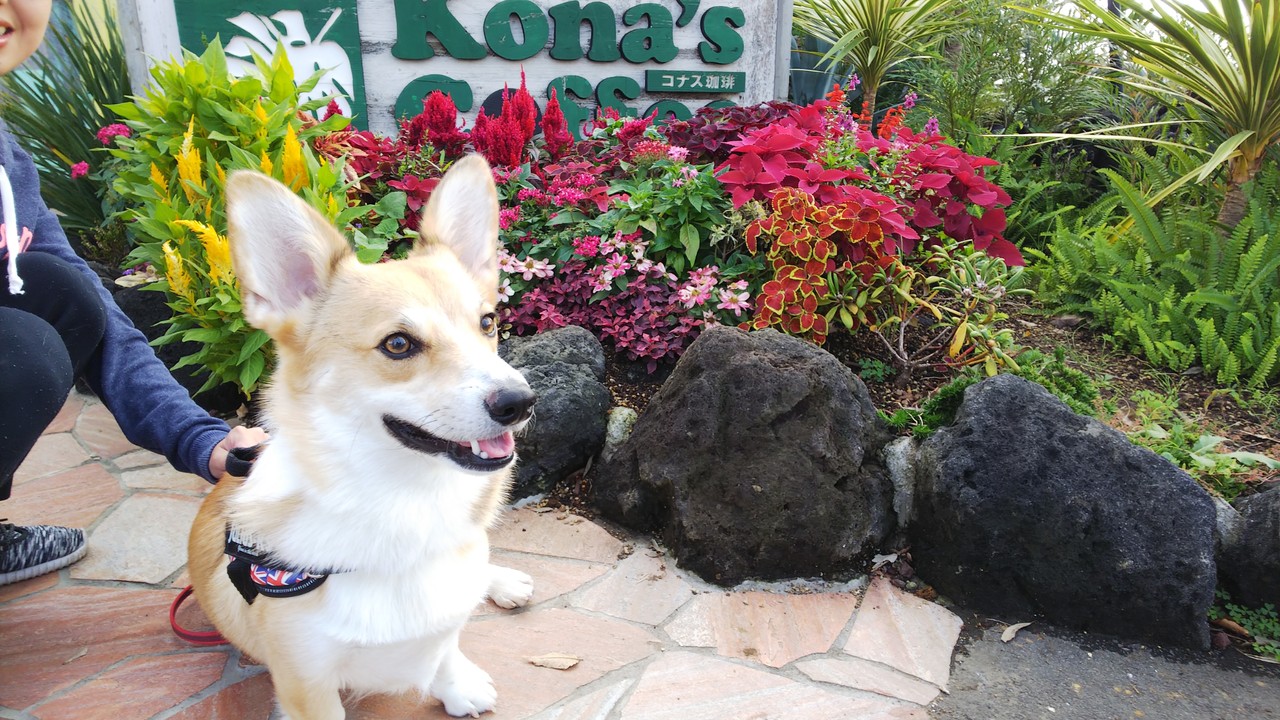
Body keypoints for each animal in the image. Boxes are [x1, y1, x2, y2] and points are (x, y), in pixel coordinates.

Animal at [187, 155, 536, 719]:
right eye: (397, 344)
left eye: (487, 323)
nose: (519, 402)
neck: (405, 503)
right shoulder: (306, 684)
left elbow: (446, 644)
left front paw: (458, 684)